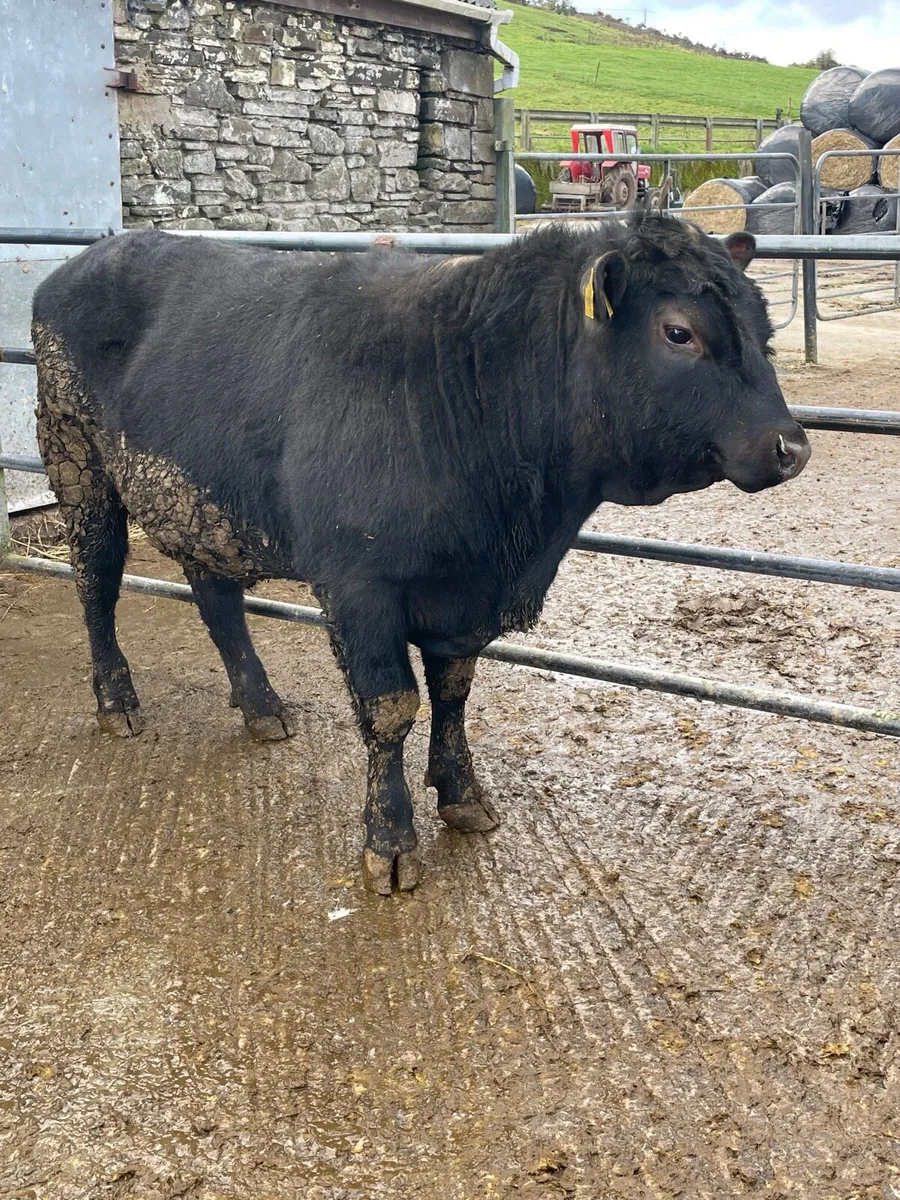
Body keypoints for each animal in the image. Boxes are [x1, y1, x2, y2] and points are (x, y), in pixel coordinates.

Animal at [31, 214, 810, 894]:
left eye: (765, 330)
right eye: (680, 332)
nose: (791, 446)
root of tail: (94, 254)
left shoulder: (462, 597)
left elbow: (454, 693)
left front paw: (463, 794)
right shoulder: (359, 586)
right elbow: (390, 710)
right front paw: (390, 841)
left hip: (203, 500)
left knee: (217, 598)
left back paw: (261, 706)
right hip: (77, 465)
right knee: (96, 581)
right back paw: (118, 700)